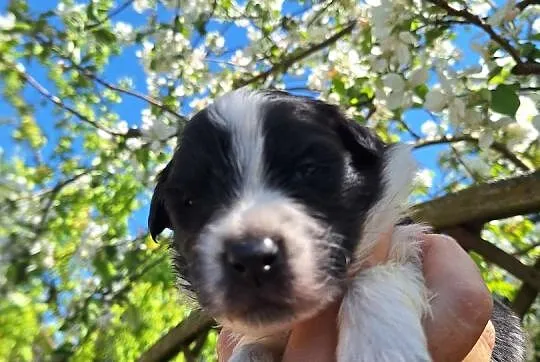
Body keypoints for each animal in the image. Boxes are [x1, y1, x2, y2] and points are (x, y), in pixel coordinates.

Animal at [149, 88, 528, 362]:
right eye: (190, 202)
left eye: (309, 171)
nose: (252, 256)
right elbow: (251, 348)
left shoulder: (405, 244)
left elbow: (374, 278)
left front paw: (380, 349)